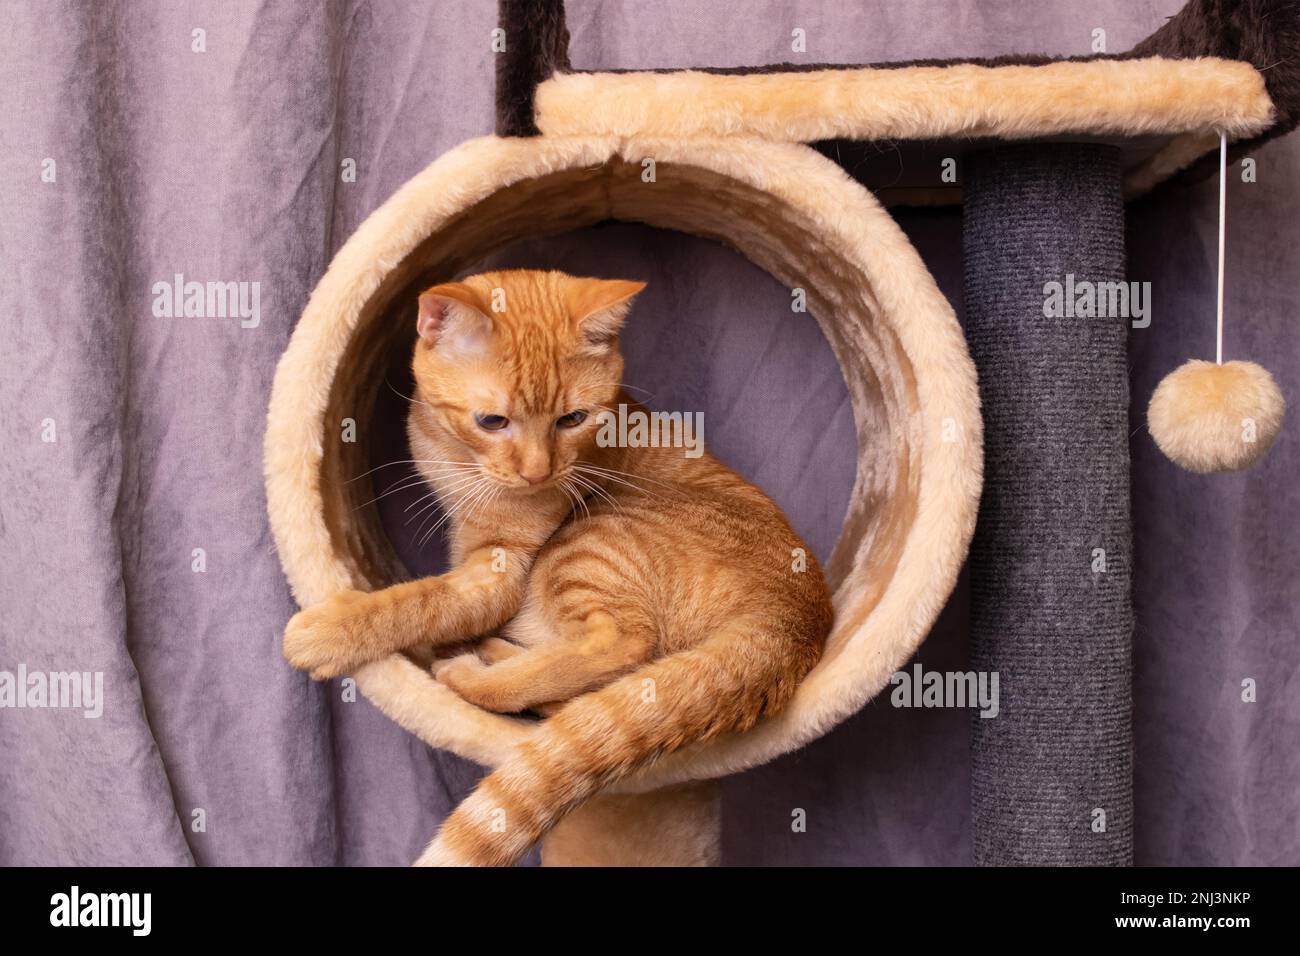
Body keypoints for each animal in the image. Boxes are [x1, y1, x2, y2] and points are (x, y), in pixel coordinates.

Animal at [284, 267, 832, 868]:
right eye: (492, 421)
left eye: (572, 418)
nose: (537, 473)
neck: (457, 460)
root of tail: (797, 617)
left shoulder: (500, 571)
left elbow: (421, 601)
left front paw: (330, 629)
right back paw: (492, 651)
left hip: (588, 543)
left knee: (617, 648)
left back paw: (473, 667)